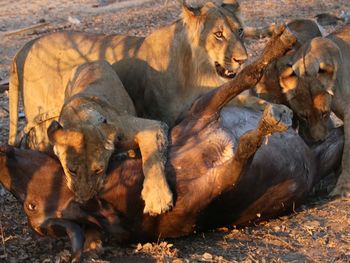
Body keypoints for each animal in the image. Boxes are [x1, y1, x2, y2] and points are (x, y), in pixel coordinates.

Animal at [47, 60, 172, 216]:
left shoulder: (150, 126)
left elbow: (151, 159)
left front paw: (158, 198)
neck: (80, 117)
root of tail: (91, 61)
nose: (85, 199)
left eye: (98, 170)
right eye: (71, 170)